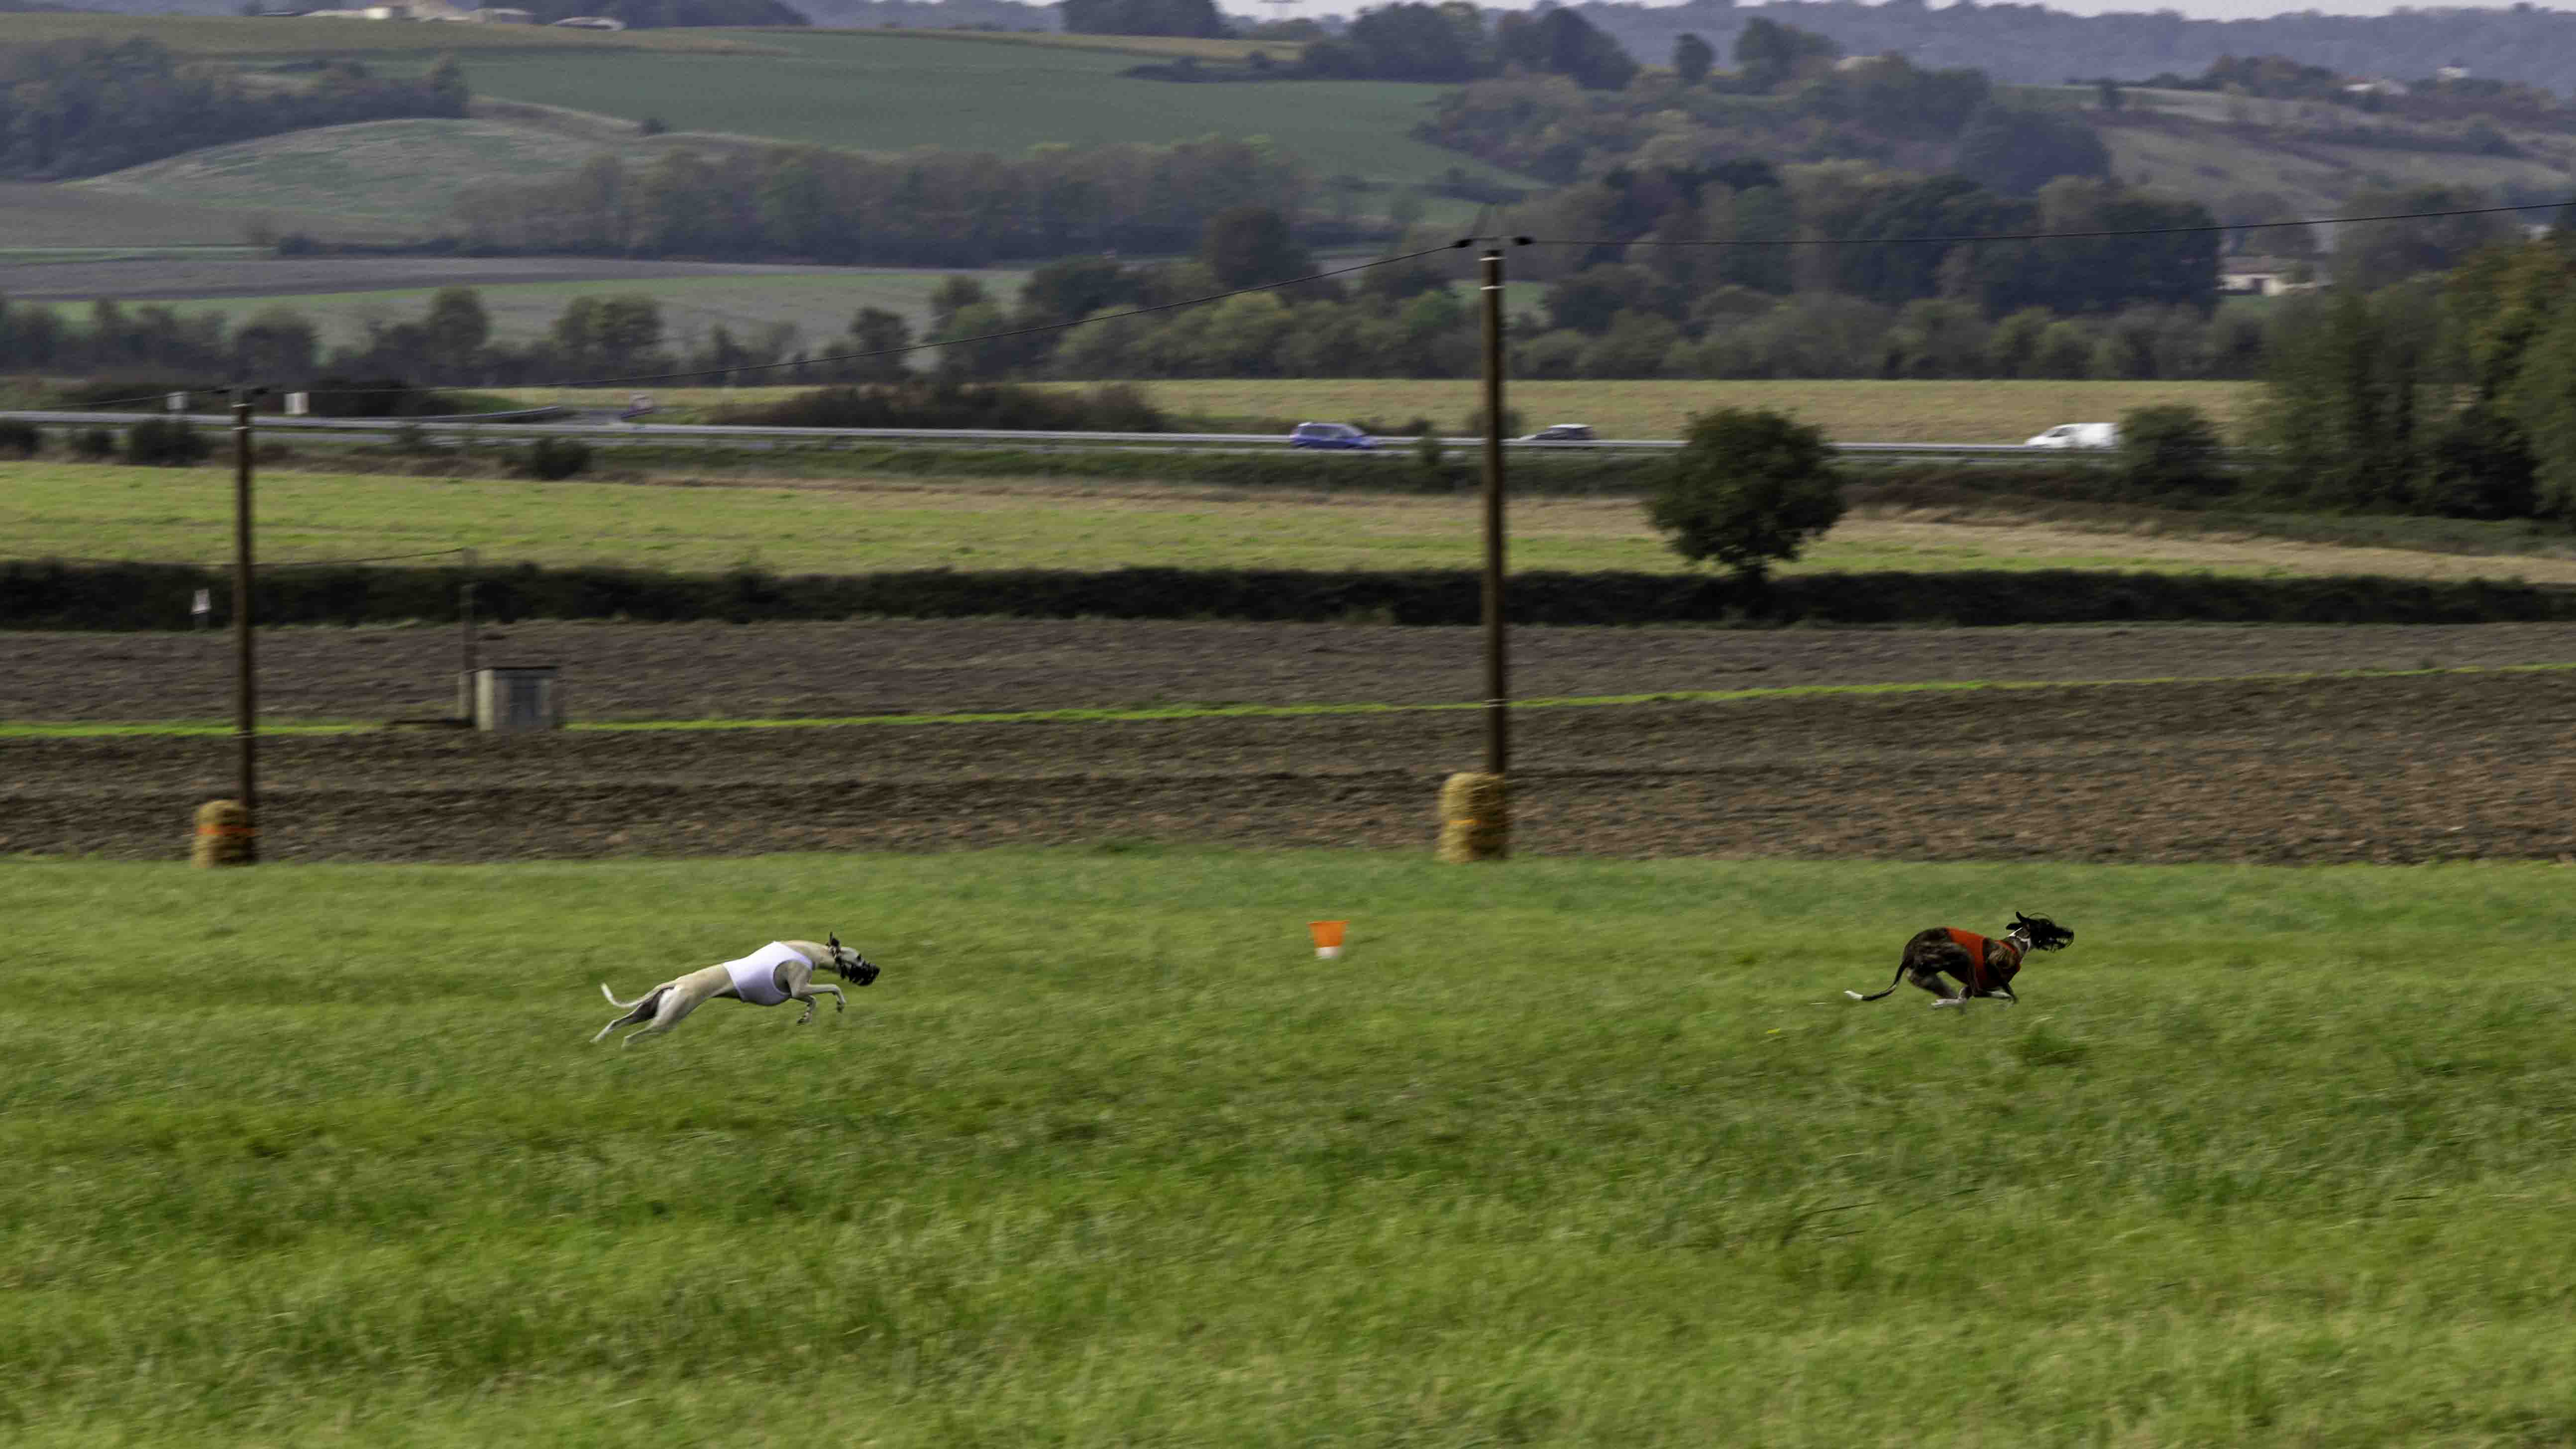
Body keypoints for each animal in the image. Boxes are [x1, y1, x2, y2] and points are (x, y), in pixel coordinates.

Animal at [590, 928, 875, 1041]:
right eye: (860, 957)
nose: (877, 970)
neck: (809, 951)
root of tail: (676, 982)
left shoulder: (795, 992)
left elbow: (812, 1001)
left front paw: (806, 1018)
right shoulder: (798, 987)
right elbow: (833, 989)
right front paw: (840, 1005)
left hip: (649, 1010)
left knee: (616, 1023)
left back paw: (597, 1043)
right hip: (668, 1019)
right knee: (632, 1036)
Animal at [1844, 902, 2081, 1005]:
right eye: (2048, 925)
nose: (2070, 932)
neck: (2017, 943)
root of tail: (1908, 954)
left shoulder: (1965, 989)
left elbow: (1964, 996)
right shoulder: (1993, 962)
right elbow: (2006, 990)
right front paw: (2009, 998)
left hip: (1929, 979)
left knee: (1955, 998)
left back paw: (1943, 1004)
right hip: (1961, 954)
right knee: (1976, 992)